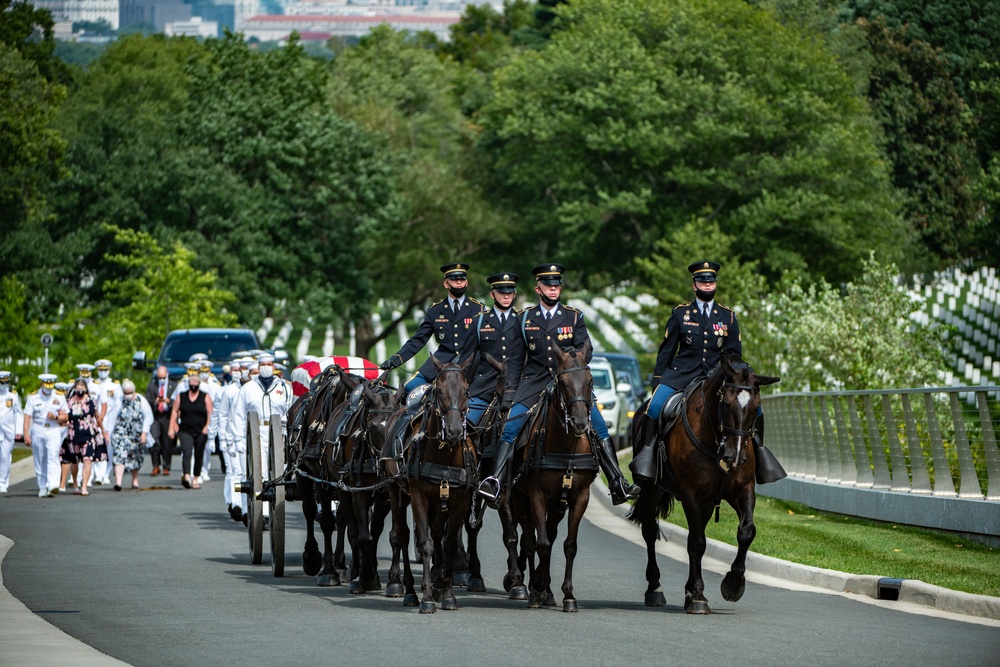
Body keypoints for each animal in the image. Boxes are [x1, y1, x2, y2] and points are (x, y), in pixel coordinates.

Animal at [504, 342, 596, 612]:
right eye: (562, 382)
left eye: (590, 380)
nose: (579, 422)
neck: (566, 448)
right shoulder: (536, 496)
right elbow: (541, 544)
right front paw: (536, 591)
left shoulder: (580, 497)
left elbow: (569, 545)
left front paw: (568, 595)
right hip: (519, 498)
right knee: (529, 540)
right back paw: (533, 586)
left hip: (556, 504)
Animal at [624, 354, 780, 616]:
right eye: (726, 403)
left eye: (755, 408)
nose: (735, 458)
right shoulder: (691, 494)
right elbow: (696, 543)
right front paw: (697, 595)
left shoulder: (743, 490)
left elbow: (746, 531)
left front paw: (733, 584)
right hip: (651, 490)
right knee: (650, 531)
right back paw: (655, 589)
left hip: (706, 503)